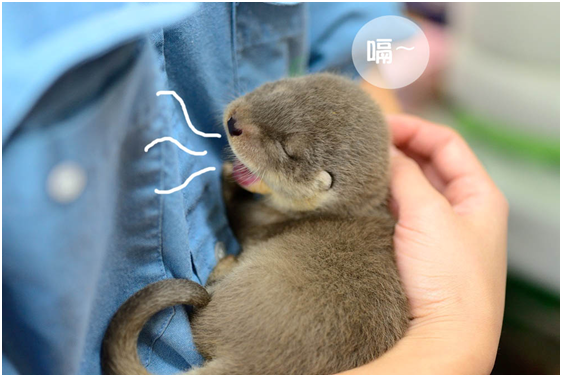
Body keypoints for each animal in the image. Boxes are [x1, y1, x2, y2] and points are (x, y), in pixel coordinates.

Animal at [100, 72, 406, 374]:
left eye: (286, 149)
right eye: (280, 88)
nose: (234, 122)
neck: (340, 211)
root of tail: (248, 362)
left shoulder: (261, 222)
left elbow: (238, 215)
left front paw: (227, 182)